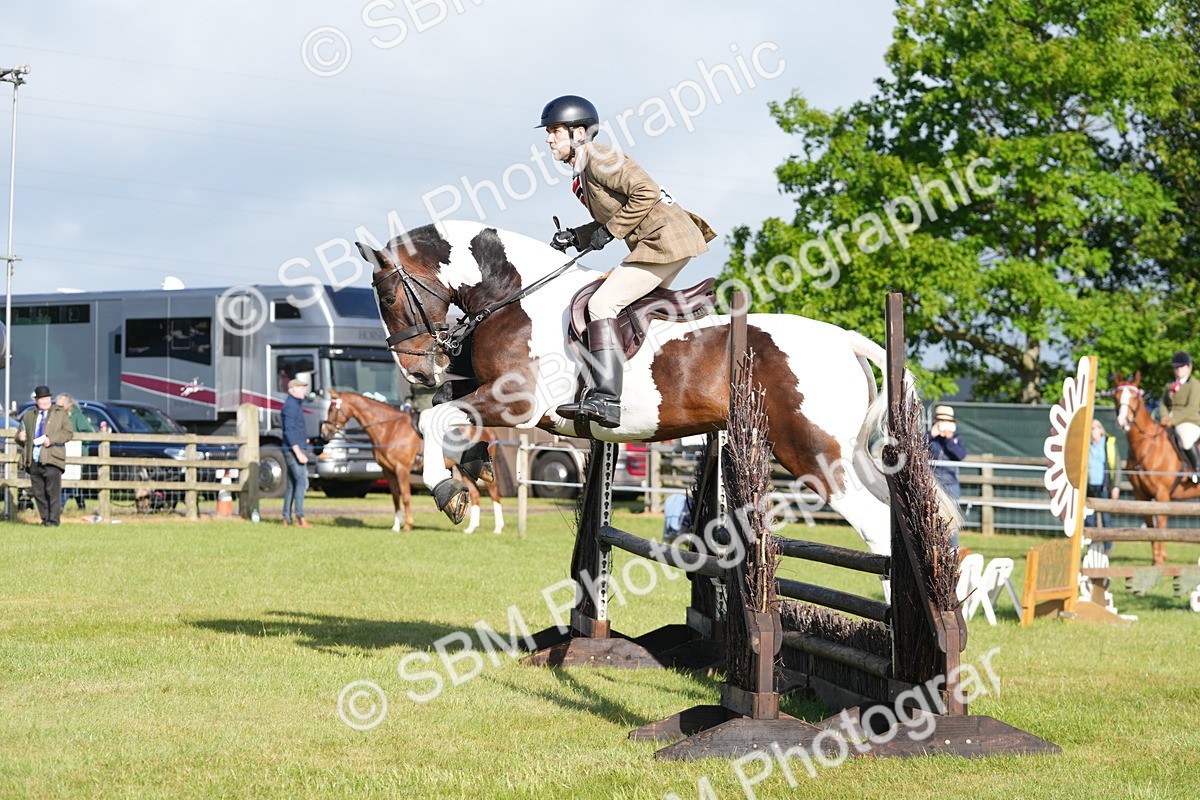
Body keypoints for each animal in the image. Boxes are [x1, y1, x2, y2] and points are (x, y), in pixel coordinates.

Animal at [321, 390, 504, 535]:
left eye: (332, 409)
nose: (325, 433)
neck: (390, 429)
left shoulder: (401, 470)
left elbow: (406, 496)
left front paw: (408, 525)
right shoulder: (388, 471)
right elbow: (395, 497)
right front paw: (396, 526)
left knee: (494, 493)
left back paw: (498, 528)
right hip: (461, 470)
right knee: (475, 494)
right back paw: (471, 528)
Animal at [358, 220, 959, 556]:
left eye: (387, 296)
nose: (416, 370)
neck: (516, 297)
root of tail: (845, 339)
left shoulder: (522, 403)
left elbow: (436, 416)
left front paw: (447, 492)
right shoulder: (489, 395)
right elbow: (444, 410)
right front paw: (472, 470)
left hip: (814, 453)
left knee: (876, 529)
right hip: (850, 454)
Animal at [1114, 371, 1200, 565]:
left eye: (1134, 397)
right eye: (1116, 396)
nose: (1122, 421)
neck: (1147, 444)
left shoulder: (1161, 495)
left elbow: (1160, 524)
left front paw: (1161, 561)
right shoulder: (1141, 496)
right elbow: (1151, 526)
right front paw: (1155, 562)